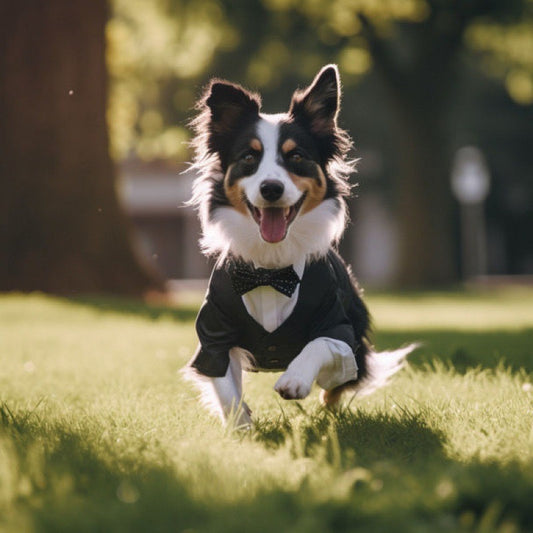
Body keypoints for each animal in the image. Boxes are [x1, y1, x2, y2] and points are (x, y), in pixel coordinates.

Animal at [185, 64, 414, 426]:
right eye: (249, 157)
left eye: (295, 156)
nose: (271, 188)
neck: (270, 269)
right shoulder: (214, 334)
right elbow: (225, 388)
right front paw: (241, 426)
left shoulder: (338, 325)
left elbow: (320, 346)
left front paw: (294, 380)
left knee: (336, 387)